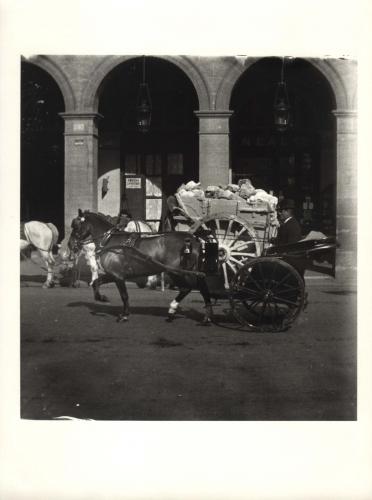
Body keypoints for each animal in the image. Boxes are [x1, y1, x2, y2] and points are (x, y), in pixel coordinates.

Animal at [66, 210, 212, 324]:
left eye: (76, 225)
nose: (70, 245)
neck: (111, 241)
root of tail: (194, 239)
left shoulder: (118, 276)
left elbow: (124, 296)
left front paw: (124, 315)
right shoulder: (113, 274)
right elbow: (96, 283)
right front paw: (102, 298)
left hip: (178, 272)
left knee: (187, 288)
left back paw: (172, 309)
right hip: (191, 271)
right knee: (203, 288)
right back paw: (206, 317)